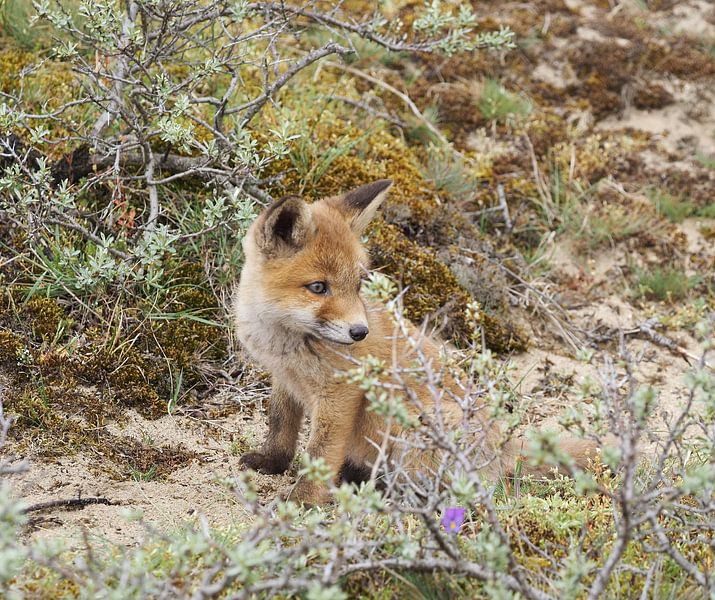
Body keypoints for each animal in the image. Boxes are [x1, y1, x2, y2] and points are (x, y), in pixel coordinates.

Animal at [232, 179, 601, 505]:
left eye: (358, 284)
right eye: (319, 287)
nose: (360, 332)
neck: (286, 340)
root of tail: (503, 447)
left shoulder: (341, 393)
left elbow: (320, 454)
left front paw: (303, 499)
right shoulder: (283, 377)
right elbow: (280, 425)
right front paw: (272, 462)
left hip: (413, 431)